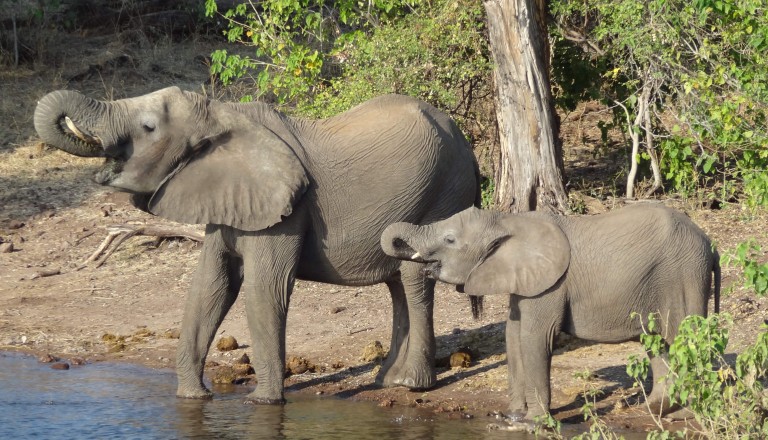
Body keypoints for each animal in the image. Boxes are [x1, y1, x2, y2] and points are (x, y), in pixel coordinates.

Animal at [37, 87, 480, 404]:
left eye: (148, 127)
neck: (221, 113)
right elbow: (211, 287)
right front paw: (193, 398)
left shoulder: (288, 209)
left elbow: (264, 290)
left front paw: (263, 403)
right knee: (397, 285)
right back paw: (387, 381)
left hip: (443, 192)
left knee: (414, 280)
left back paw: (412, 385)